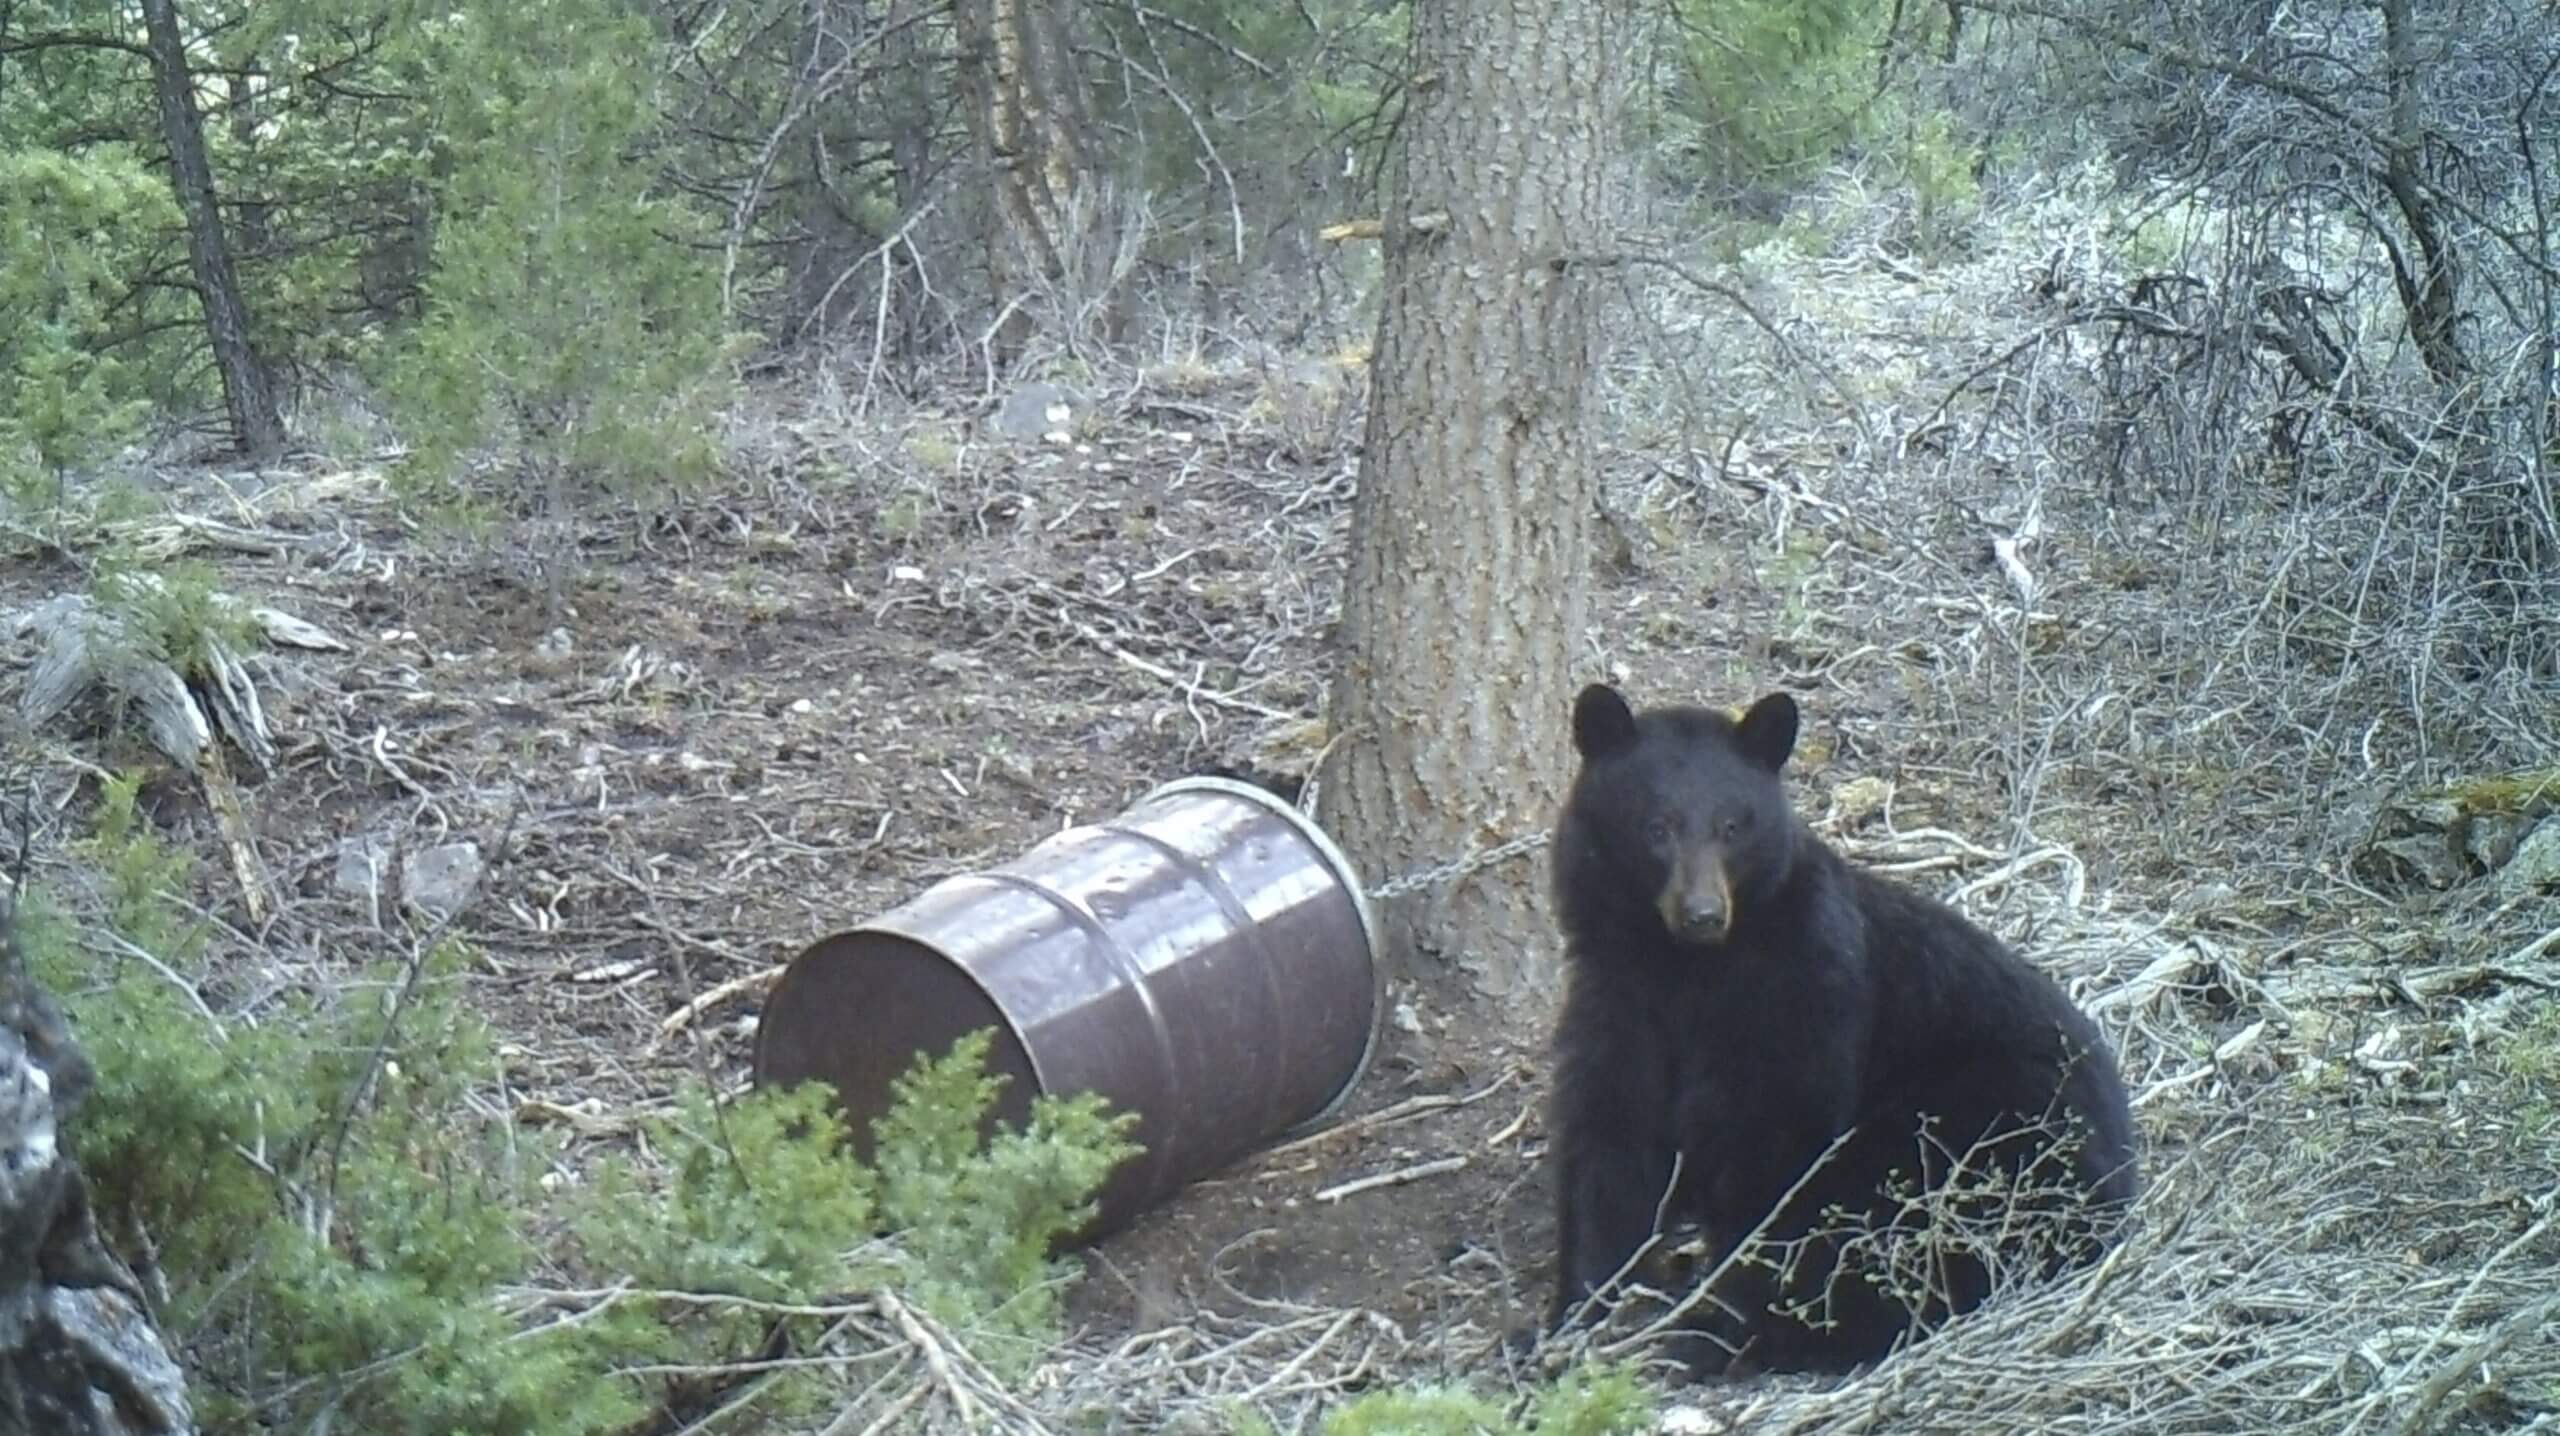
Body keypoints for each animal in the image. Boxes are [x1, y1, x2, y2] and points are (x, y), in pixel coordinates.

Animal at [1536, 681, 2139, 1379]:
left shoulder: (1804, 994)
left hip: (1982, 1130)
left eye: (1732, 826)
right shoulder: (1619, 1002)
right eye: (1656, 827)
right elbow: (1609, 1149)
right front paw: (1571, 1321)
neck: (1686, 971)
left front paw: (1722, 1315)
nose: (1703, 914)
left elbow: (1771, 1154)